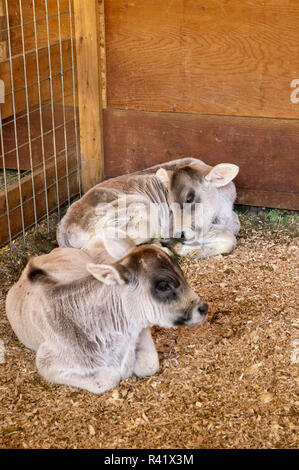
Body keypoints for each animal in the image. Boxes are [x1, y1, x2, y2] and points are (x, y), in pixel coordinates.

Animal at [7, 237, 209, 394]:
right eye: (163, 285)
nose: (203, 308)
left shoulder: (141, 328)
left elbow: (149, 365)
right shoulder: (45, 362)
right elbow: (107, 378)